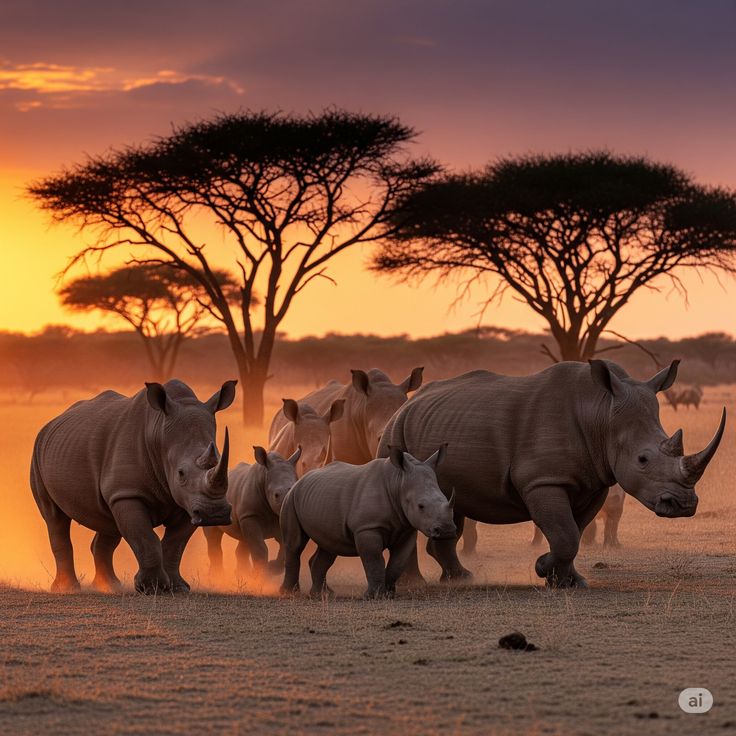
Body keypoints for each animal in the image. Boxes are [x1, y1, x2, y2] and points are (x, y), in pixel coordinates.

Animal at [30, 379, 236, 594]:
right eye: (181, 473)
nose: (214, 514)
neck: (159, 435)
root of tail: (52, 422)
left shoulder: (188, 502)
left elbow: (175, 543)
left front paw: (177, 588)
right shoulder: (128, 493)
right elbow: (145, 538)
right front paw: (151, 587)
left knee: (108, 523)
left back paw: (110, 587)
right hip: (37, 453)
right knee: (54, 517)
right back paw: (67, 589)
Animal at [203, 446, 301, 578]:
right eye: (276, 495)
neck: (264, 476)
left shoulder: (279, 517)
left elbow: (284, 546)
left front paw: (272, 569)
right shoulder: (250, 515)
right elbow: (260, 548)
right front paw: (260, 575)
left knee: (244, 540)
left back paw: (243, 574)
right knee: (213, 537)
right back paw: (217, 576)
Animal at [279, 446, 455, 598]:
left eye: (447, 499)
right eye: (421, 506)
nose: (446, 530)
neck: (398, 482)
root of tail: (300, 479)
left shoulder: (407, 529)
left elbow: (398, 562)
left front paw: (389, 595)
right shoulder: (367, 528)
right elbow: (374, 560)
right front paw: (373, 596)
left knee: (329, 547)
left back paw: (323, 594)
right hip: (290, 499)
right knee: (295, 545)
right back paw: (290, 593)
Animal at [378, 360, 726, 588]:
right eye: (642, 459)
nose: (683, 505)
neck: (601, 413)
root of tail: (406, 403)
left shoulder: (593, 483)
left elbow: (574, 532)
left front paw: (568, 581)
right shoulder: (543, 481)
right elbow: (565, 534)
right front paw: (543, 569)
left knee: (455, 505)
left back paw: (460, 579)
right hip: (395, 434)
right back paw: (414, 583)